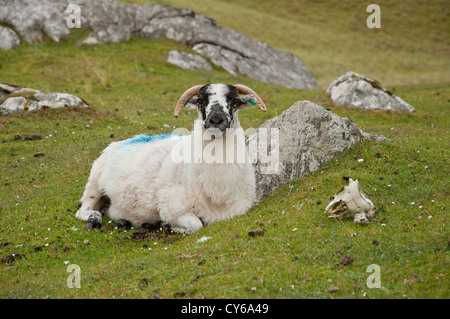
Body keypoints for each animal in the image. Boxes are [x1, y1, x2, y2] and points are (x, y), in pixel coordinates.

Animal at [75, 84, 266, 235]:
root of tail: (120, 142)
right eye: (200, 101)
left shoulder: (238, 209)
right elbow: (195, 224)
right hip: (94, 183)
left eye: (234, 101)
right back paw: (93, 218)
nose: (216, 119)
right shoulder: (172, 207)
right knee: (83, 209)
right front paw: (167, 226)